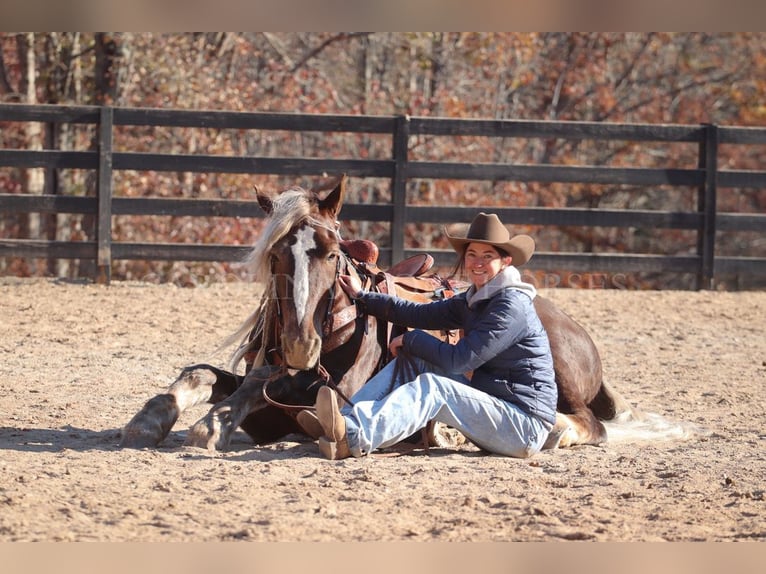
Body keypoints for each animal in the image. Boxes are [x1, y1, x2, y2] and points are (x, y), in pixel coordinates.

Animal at [121, 176, 688, 454]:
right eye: (277, 254)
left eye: (332, 253)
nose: (301, 345)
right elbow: (204, 375)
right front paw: (149, 420)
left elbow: (251, 393)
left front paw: (210, 426)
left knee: (589, 424)